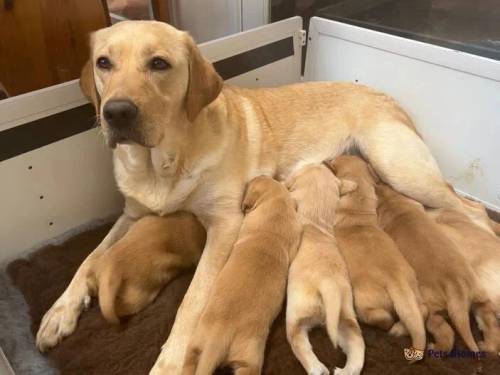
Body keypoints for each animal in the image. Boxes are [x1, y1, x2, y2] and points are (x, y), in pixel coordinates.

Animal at [286, 164, 364, 375]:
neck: (316, 221)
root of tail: (328, 284)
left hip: (295, 315)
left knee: (298, 341)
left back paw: (317, 368)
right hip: (345, 319)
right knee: (357, 349)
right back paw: (343, 371)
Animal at [332, 156, 426, 356]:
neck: (357, 208)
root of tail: (397, 283)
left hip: (365, 299)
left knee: (381, 317)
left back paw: (389, 327)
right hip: (414, 289)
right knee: (421, 310)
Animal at [376, 186, 498, 356]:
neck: (396, 205)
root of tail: (457, 289)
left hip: (433, 309)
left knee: (445, 333)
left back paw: (433, 346)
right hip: (481, 295)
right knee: (490, 323)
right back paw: (486, 345)